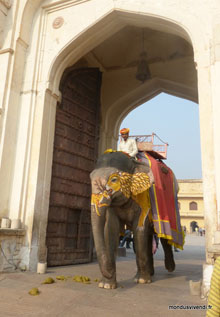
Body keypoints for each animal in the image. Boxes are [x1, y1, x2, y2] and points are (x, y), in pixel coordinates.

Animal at [89, 151, 184, 288]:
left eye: (114, 179)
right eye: (90, 178)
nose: (109, 272)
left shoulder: (144, 197)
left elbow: (139, 228)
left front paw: (141, 281)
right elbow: (111, 229)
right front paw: (106, 285)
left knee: (164, 236)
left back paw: (169, 268)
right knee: (148, 237)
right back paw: (151, 273)